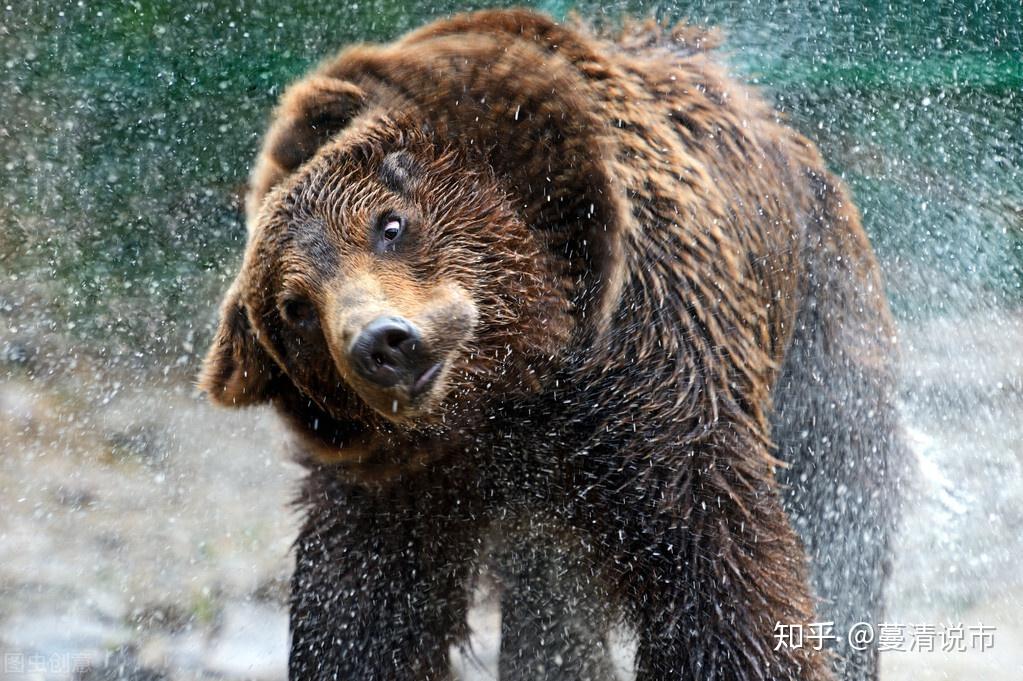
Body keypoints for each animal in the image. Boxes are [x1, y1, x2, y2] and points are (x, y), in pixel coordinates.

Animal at [199, 9, 904, 678]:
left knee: (841, 504)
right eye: (295, 309)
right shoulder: (400, 477)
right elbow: (361, 602)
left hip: (823, 326)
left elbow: (713, 563)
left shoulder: (647, 372)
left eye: (389, 225)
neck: (512, 388)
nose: (382, 343)